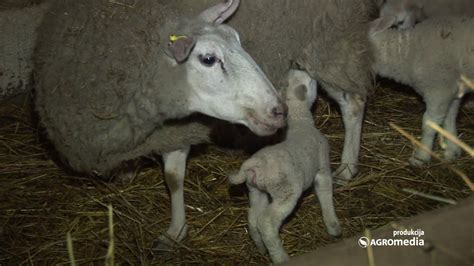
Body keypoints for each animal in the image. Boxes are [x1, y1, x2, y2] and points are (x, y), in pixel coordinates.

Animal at [229, 69, 340, 264]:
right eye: (311, 81)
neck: (299, 121)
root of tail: (254, 163)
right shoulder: (323, 166)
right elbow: (326, 192)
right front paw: (333, 225)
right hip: (285, 192)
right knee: (266, 222)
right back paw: (280, 256)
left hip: (256, 189)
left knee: (253, 217)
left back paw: (261, 248)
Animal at [370, 15, 474, 165]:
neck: (408, 54)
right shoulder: (452, 91)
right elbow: (449, 119)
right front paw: (452, 152)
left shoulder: (438, 90)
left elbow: (429, 124)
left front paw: (421, 157)